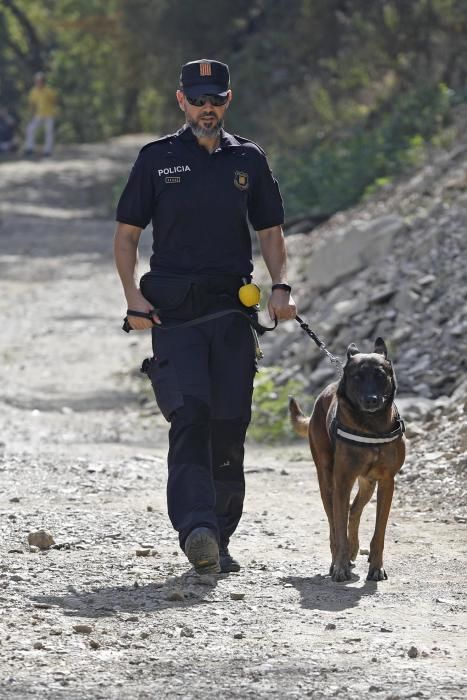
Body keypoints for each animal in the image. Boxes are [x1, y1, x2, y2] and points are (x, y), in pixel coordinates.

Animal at [292, 338, 406, 580]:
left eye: (380, 375)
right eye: (357, 377)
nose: (371, 400)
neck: (371, 426)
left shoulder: (386, 482)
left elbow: (379, 532)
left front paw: (376, 566)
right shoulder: (342, 481)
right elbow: (339, 529)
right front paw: (340, 566)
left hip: (368, 483)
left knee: (354, 510)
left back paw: (354, 550)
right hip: (327, 481)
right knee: (334, 524)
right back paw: (337, 559)